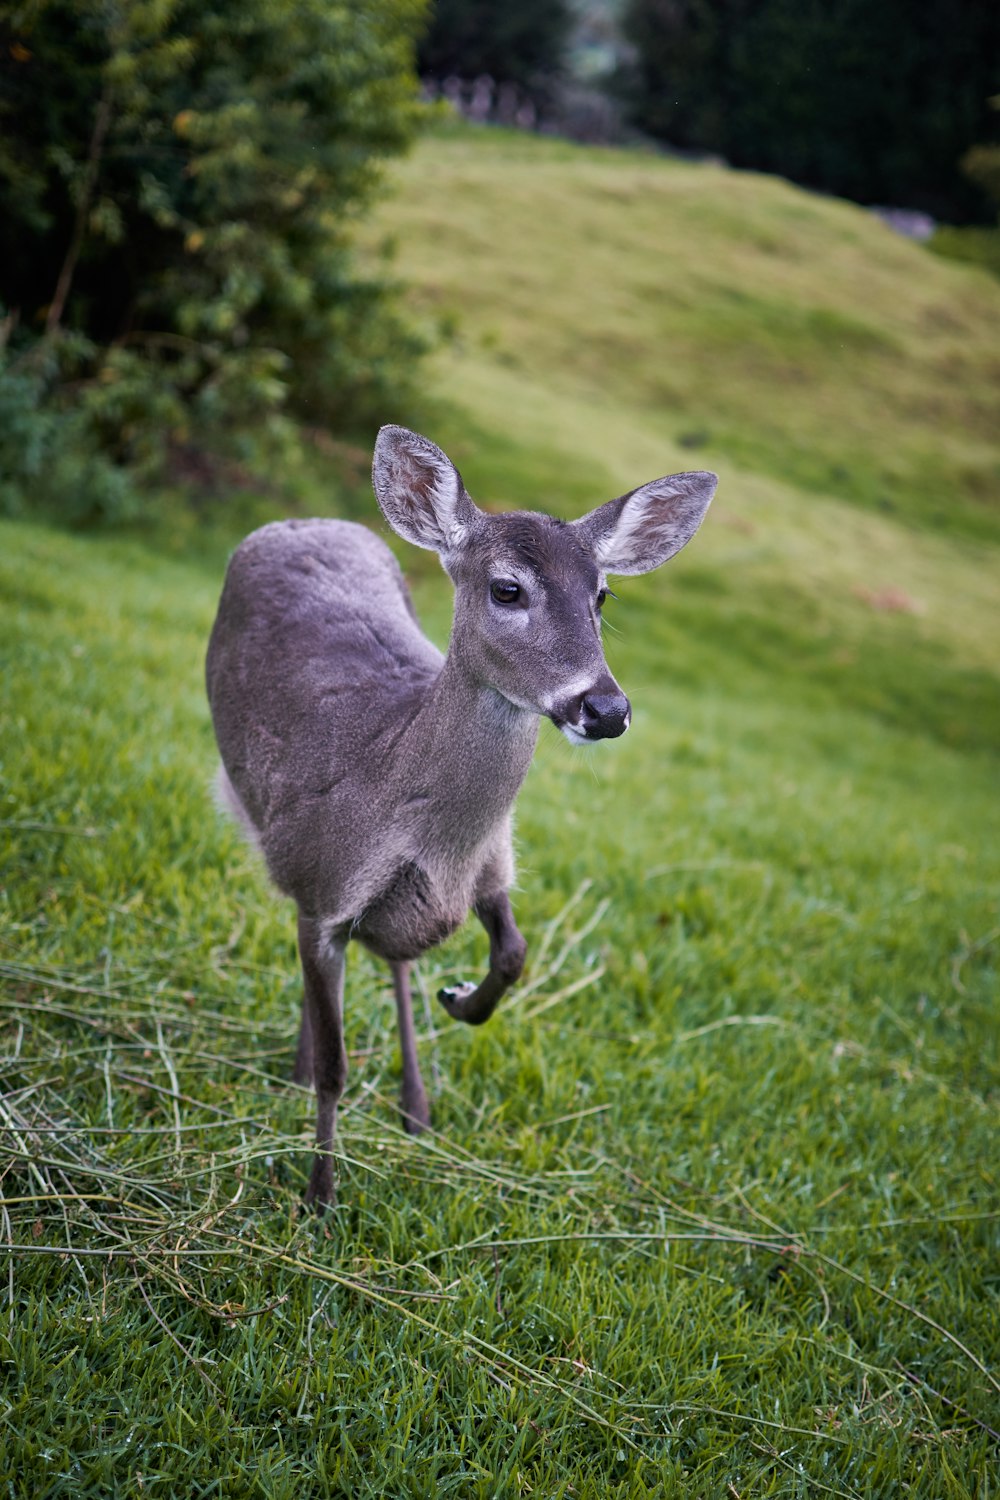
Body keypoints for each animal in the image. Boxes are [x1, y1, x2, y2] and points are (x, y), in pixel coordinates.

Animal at [205, 426, 719, 1206]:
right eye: (508, 588)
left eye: (602, 594)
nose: (605, 709)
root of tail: (302, 521)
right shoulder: (323, 882)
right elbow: (336, 1066)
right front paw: (319, 1194)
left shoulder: (492, 864)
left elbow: (513, 952)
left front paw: (460, 999)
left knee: (395, 959)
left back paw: (414, 1107)